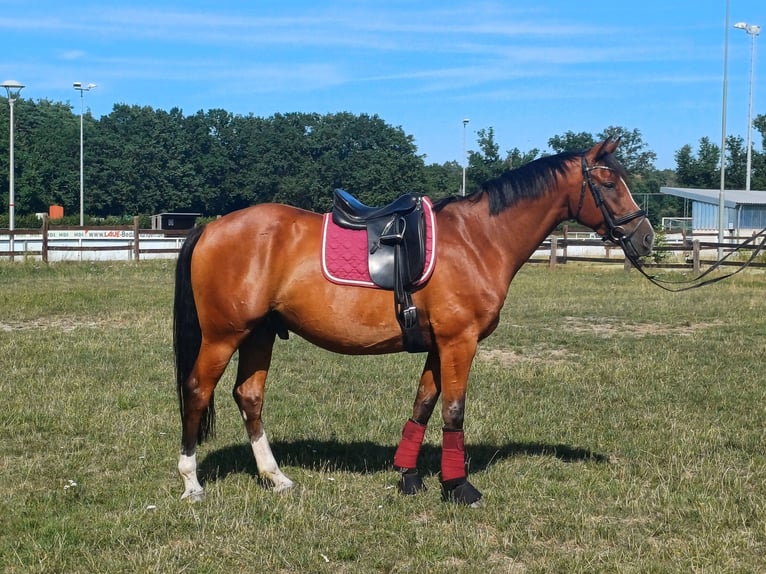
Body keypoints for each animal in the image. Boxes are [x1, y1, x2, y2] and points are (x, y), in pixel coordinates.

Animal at [174, 138, 654, 506]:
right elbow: (453, 411)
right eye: (608, 182)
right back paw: (192, 483)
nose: (646, 237)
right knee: (197, 391)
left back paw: (275, 477)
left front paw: (408, 477)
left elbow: (423, 404)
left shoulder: (439, 345)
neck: (477, 240)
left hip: (259, 334)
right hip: (223, 336)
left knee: (249, 397)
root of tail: (211, 227)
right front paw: (459, 486)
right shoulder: (460, 342)